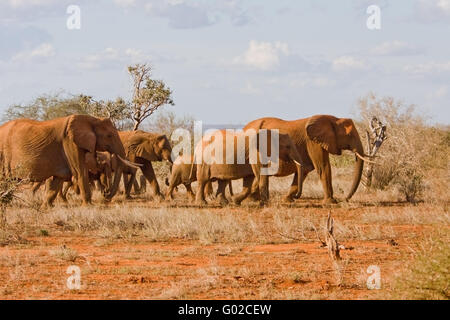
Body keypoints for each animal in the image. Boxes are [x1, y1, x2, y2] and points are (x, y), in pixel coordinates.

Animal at [0, 114, 139, 205]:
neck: (90, 119)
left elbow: (58, 179)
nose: (105, 196)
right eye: (109, 136)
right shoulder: (70, 143)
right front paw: (88, 206)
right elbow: (80, 172)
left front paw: (47, 207)